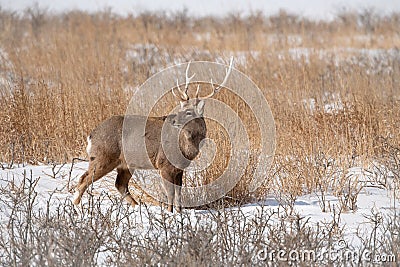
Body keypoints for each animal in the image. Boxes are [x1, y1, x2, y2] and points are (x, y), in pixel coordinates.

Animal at [73, 58, 233, 214]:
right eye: (181, 109)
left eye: (189, 112)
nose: (172, 120)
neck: (186, 147)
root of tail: (91, 135)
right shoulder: (164, 165)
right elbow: (170, 193)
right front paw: (170, 212)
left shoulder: (180, 168)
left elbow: (179, 193)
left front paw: (179, 212)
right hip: (103, 156)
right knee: (84, 179)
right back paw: (76, 207)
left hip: (125, 163)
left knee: (120, 184)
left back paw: (138, 207)